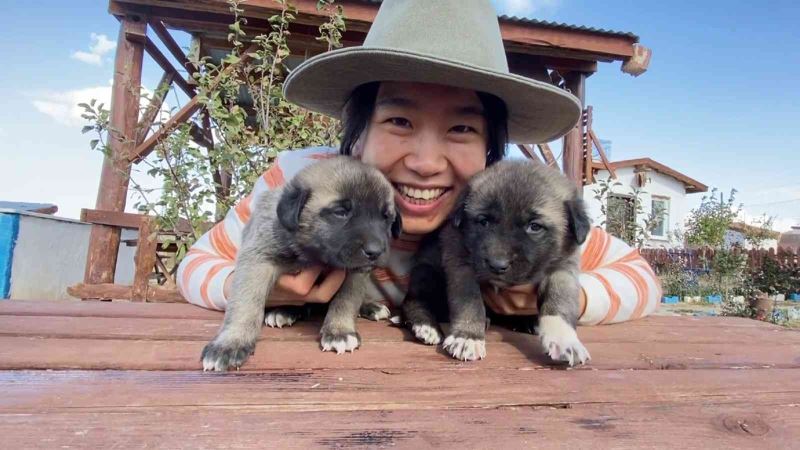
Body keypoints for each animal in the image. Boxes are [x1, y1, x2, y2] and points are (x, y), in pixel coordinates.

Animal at [200, 156, 400, 370]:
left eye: (386, 217)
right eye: (340, 212)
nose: (375, 251)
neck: (315, 254)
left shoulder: (355, 271)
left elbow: (347, 300)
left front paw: (339, 330)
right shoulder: (258, 259)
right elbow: (245, 303)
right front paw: (230, 343)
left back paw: (370, 306)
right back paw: (284, 311)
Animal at [404, 160, 592, 368]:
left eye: (534, 226)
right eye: (483, 221)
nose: (497, 265)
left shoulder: (563, 268)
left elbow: (560, 301)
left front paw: (565, 340)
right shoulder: (460, 264)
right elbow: (469, 301)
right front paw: (468, 336)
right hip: (427, 272)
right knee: (414, 300)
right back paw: (426, 326)